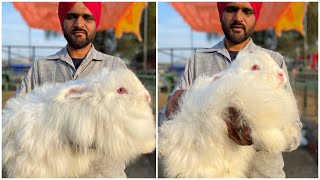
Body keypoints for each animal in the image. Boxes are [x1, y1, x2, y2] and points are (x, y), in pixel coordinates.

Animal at [2, 68, 155, 178]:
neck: (96, 102)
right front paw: (150, 146)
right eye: (121, 90)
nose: (148, 97)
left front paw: (150, 146)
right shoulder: (116, 131)